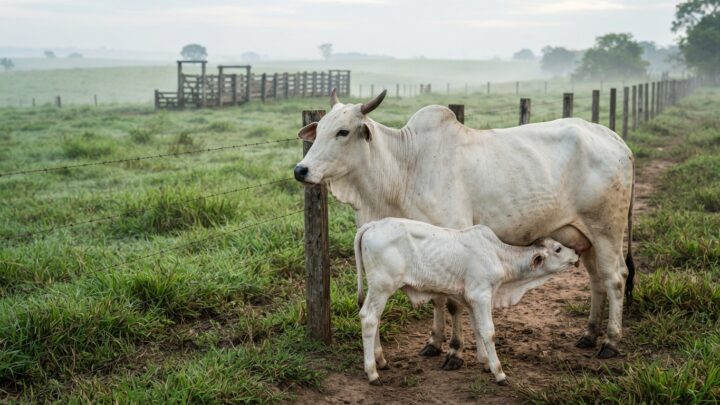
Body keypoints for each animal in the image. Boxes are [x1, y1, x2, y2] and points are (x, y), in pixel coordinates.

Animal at [294, 89, 635, 367]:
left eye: (343, 131)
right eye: (318, 130)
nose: (301, 170)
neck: (404, 169)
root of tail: (614, 139)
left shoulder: (454, 238)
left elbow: (453, 303)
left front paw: (456, 353)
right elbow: (437, 298)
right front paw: (434, 343)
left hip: (607, 230)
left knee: (615, 277)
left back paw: (610, 341)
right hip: (583, 237)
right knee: (596, 280)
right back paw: (589, 335)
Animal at [354, 218, 580, 384]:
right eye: (558, 249)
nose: (576, 253)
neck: (498, 255)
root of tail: (372, 225)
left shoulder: (472, 299)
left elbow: (477, 328)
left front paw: (485, 362)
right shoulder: (481, 295)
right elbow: (489, 331)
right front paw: (499, 373)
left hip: (378, 289)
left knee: (375, 318)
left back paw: (381, 361)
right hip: (382, 286)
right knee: (369, 318)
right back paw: (372, 372)